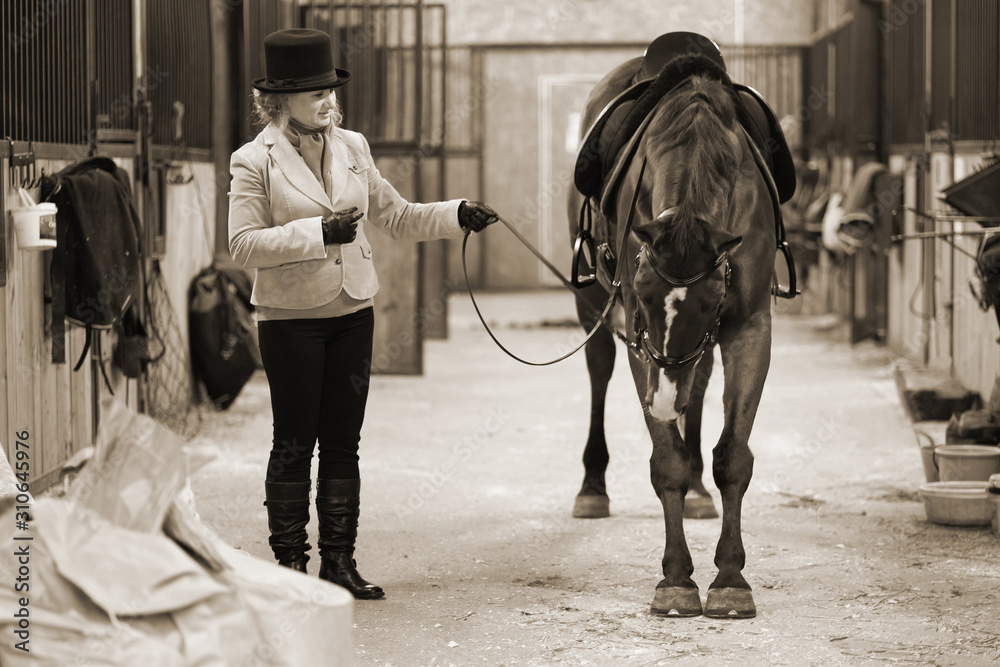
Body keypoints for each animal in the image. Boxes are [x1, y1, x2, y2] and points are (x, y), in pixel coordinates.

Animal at [566, 51, 780, 618]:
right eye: (641, 298)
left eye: (710, 303)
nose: (663, 403)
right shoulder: (637, 335)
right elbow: (667, 462)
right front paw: (677, 579)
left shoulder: (749, 325)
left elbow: (733, 456)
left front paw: (730, 578)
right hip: (591, 307)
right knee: (599, 371)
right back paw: (592, 486)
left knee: (699, 388)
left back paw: (700, 488)